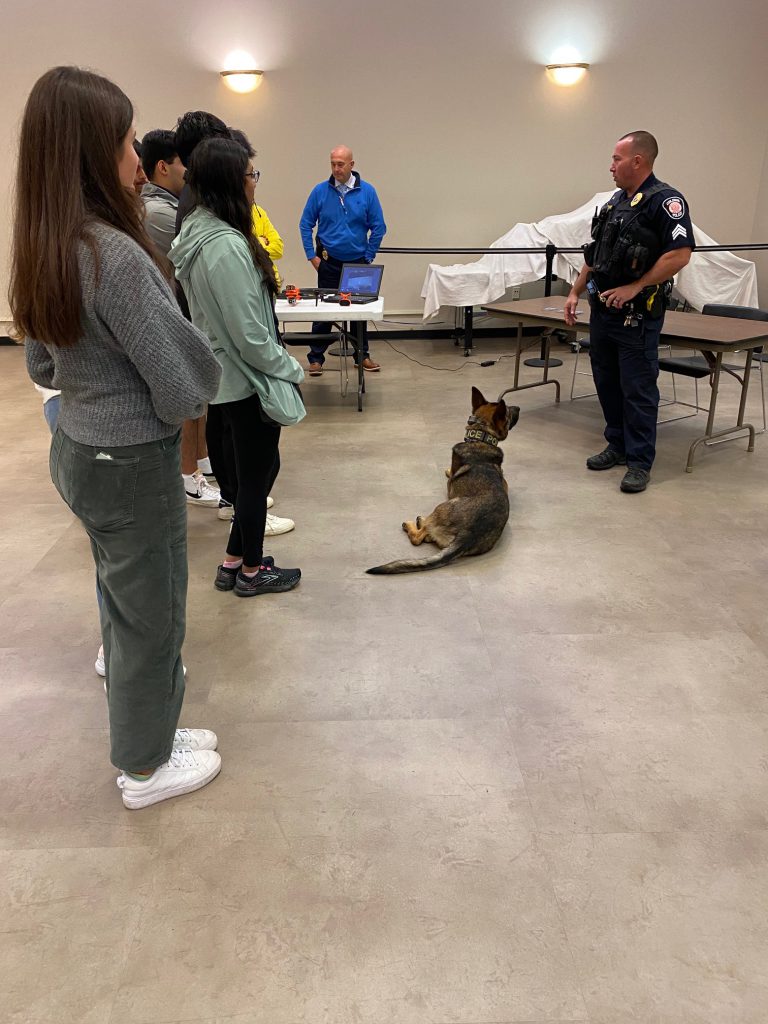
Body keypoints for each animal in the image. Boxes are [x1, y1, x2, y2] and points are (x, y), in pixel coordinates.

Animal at [368, 385, 524, 577]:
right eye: (509, 411)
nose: (519, 407)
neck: (481, 436)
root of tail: (467, 536)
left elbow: (450, 475)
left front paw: (449, 471)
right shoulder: (505, 481)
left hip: (441, 507)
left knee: (418, 538)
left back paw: (416, 522)